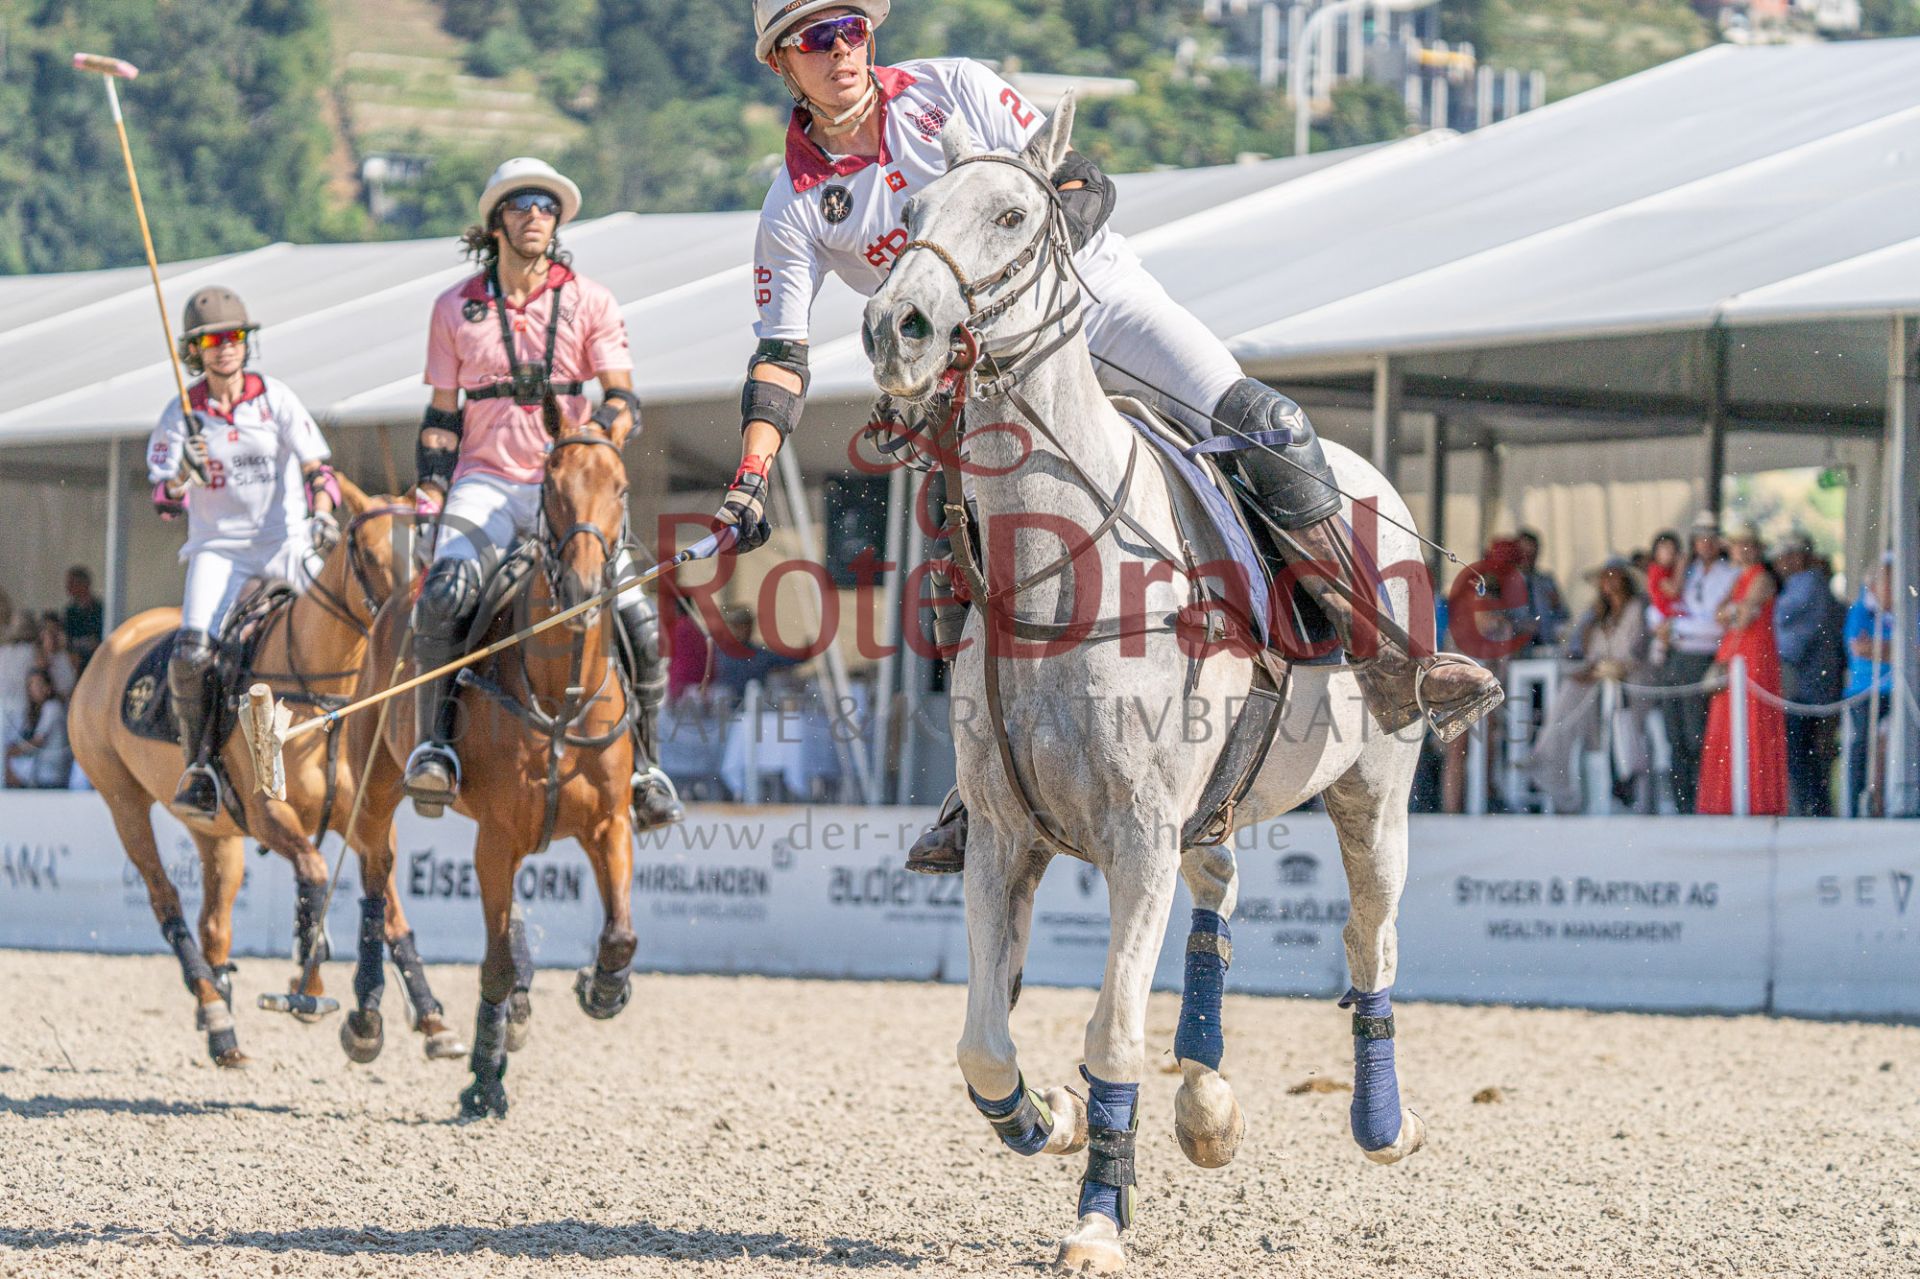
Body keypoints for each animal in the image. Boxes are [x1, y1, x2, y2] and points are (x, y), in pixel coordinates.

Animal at [68, 477, 464, 1067]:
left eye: (431, 548)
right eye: (371, 554)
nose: (416, 628)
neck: (328, 702)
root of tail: (111, 644)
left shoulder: (366, 818)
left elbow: (392, 910)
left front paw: (433, 1019)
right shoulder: (267, 815)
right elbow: (316, 875)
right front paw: (310, 985)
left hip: (215, 831)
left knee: (214, 920)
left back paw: (221, 1027)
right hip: (122, 802)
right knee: (167, 901)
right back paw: (213, 1007)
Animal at [348, 396, 641, 1118]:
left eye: (620, 488)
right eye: (552, 489)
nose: (585, 588)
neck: (560, 698)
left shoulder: (608, 824)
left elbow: (619, 931)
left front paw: (602, 987)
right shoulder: (497, 837)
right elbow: (496, 963)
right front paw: (484, 1078)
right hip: (373, 782)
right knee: (376, 875)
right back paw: (366, 1017)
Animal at [861, 100, 1429, 1273]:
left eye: (1014, 212)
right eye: (909, 213)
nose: (898, 327)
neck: (1063, 568)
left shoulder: (1134, 832)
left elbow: (1112, 1028)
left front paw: (1096, 1218)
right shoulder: (1004, 833)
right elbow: (985, 1044)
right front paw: (1054, 1118)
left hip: (1376, 792)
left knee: (1371, 937)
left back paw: (1383, 1121)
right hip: (1215, 802)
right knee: (1222, 890)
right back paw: (1206, 1100)